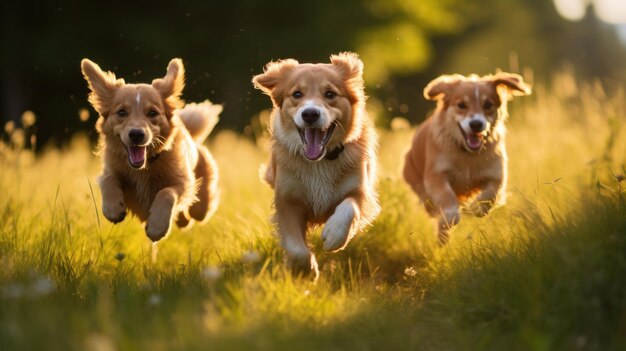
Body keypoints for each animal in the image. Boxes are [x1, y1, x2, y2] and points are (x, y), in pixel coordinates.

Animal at [81, 59, 219, 243]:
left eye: (152, 113)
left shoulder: (183, 182)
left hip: (201, 205)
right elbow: (108, 180)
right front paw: (113, 208)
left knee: (197, 212)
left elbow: (166, 193)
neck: (144, 168)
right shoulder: (110, 170)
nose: (136, 134)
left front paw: (156, 227)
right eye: (121, 112)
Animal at [251, 52, 378, 280]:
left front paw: (334, 235)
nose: (310, 114)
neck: (320, 161)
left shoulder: (361, 190)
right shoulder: (287, 201)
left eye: (330, 94)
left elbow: (350, 206)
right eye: (297, 94)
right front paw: (306, 270)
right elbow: (296, 249)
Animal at [402, 72, 528, 245]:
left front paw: (475, 208)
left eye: (488, 104)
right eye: (461, 105)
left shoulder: (496, 173)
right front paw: (448, 219)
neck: (467, 154)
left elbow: (490, 195)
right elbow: (447, 199)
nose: (476, 124)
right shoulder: (435, 175)